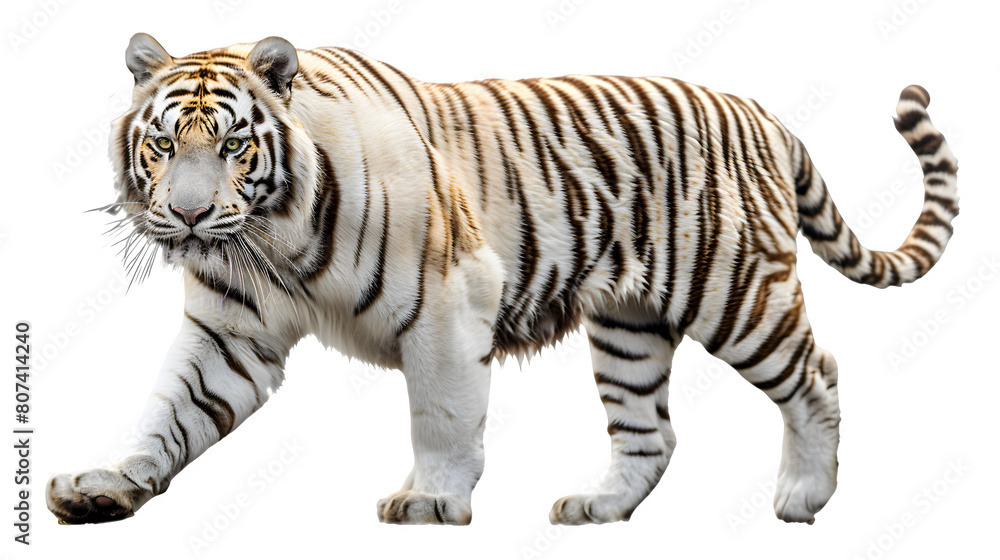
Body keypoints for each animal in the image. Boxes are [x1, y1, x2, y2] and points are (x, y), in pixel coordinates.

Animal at [46, 33, 958, 526]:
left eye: (234, 145)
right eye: (164, 144)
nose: (190, 216)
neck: (270, 238)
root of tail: (762, 113)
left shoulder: (450, 301)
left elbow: (442, 418)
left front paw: (430, 502)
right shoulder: (231, 332)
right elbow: (170, 414)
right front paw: (108, 486)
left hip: (734, 291)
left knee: (818, 373)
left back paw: (805, 494)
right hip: (629, 327)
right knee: (650, 433)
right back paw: (597, 509)